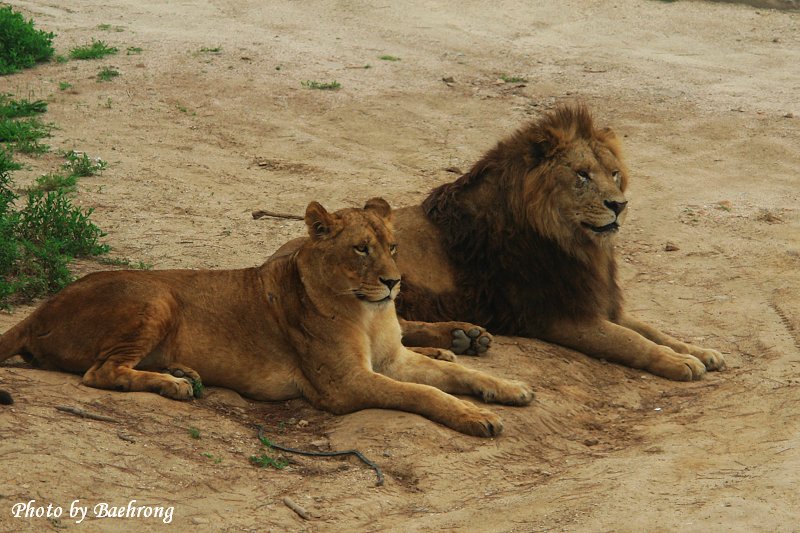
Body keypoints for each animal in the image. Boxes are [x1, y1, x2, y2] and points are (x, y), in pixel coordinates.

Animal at [1, 197, 536, 434]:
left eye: (393, 246)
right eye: (360, 249)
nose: (393, 283)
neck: (366, 313)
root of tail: (40, 309)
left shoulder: (393, 360)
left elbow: (459, 376)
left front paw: (510, 388)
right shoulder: (343, 385)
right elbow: (423, 393)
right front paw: (476, 416)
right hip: (156, 294)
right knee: (100, 372)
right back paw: (174, 385)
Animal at [392, 103, 724, 378]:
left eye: (615, 174)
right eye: (582, 174)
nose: (619, 205)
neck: (578, 244)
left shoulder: (599, 303)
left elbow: (652, 330)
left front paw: (702, 352)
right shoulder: (562, 316)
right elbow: (632, 340)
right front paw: (679, 361)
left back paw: (464, 338)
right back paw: (455, 340)